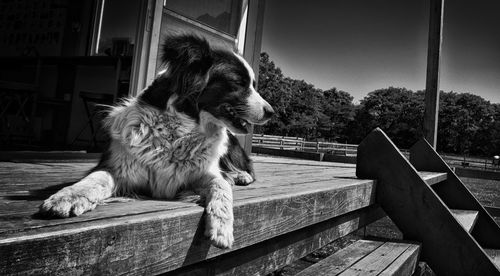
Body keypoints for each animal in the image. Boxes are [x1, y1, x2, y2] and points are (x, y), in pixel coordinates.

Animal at [39, 34, 274, 248]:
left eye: (253, 84)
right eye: (238, 83)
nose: (271, 112)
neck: (179, 132)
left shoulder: (204, 172)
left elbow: (221, 185)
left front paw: (222, 227)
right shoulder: (118, 165)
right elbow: (94, 179)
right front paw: (66, 197)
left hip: (231, 148)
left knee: (245, 169)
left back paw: (240, 175)